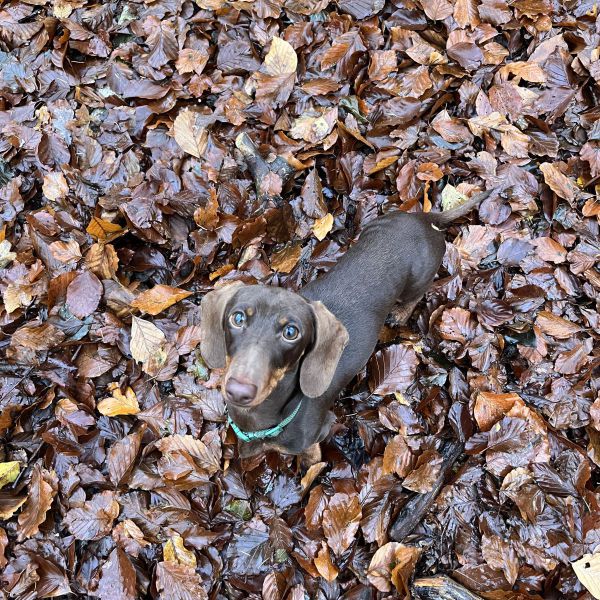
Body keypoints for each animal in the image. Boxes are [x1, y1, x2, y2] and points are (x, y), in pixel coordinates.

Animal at [199, 190, 490, 462]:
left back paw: (399, 313)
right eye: (237, 318)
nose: (239, 391)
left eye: (291, 332)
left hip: (419, 280)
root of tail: (425, 219)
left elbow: (311, 460)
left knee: (414, 296)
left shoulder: (318, 432)